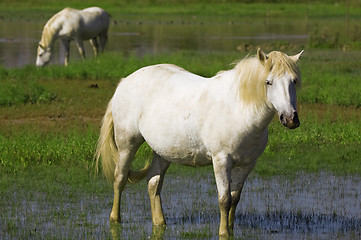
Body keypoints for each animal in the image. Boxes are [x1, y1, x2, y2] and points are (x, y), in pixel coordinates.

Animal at [94, 48, 302, 236]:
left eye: (293, 81)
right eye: (268, 82)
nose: (290, 119)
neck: (238, 110)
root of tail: (125, 82)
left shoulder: (247, 164)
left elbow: (235, 198)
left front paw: (231, 228)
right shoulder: (221, 161)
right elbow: (224, 200)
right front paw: (224, 232)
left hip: (162, 152)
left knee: (153, 183)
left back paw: (160, 222)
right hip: (127, 144)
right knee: (120, 179)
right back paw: (115, 219)